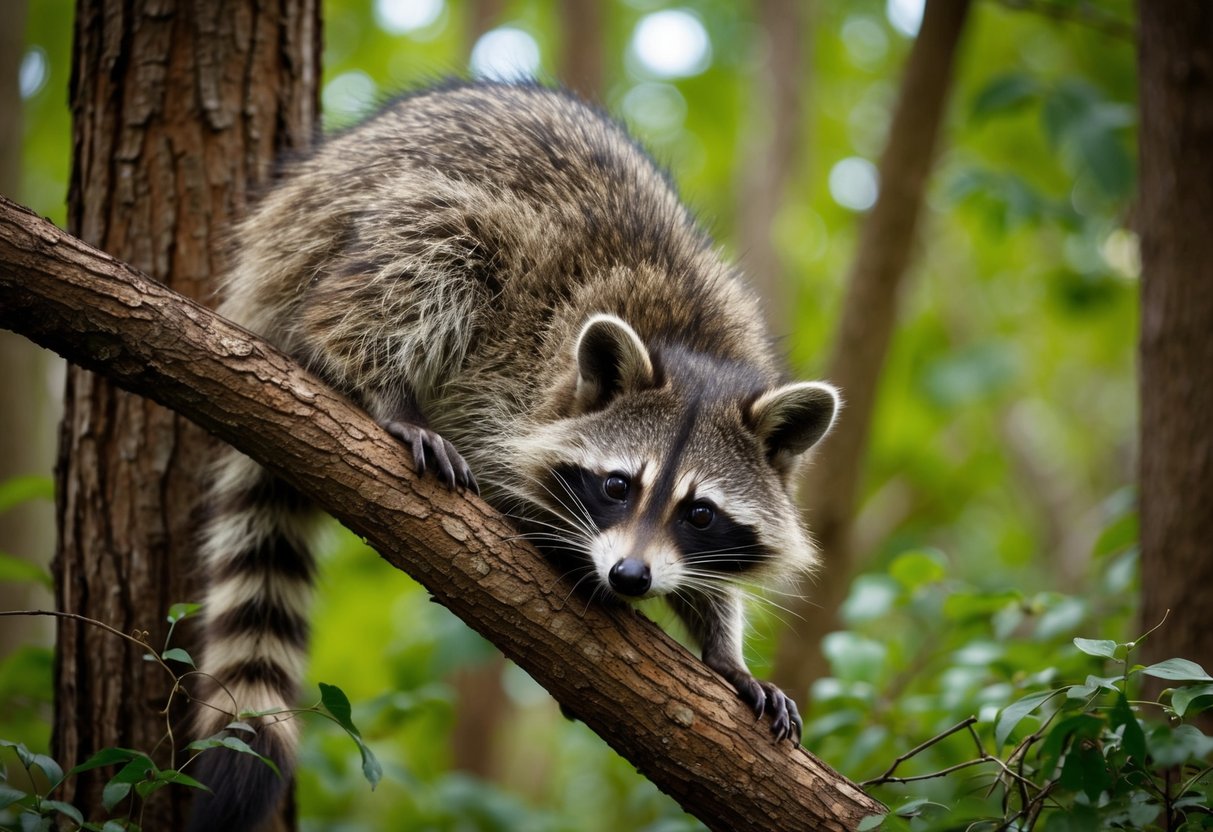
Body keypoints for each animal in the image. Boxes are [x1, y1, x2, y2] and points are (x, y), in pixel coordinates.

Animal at [187, 81, 839, 829]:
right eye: (618, 486)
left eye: (699, 513)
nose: (629, 577)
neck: (692, 353)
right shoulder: (515, 370)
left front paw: (723, 646)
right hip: (346, 232)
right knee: (410, 262)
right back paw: (385, 389)